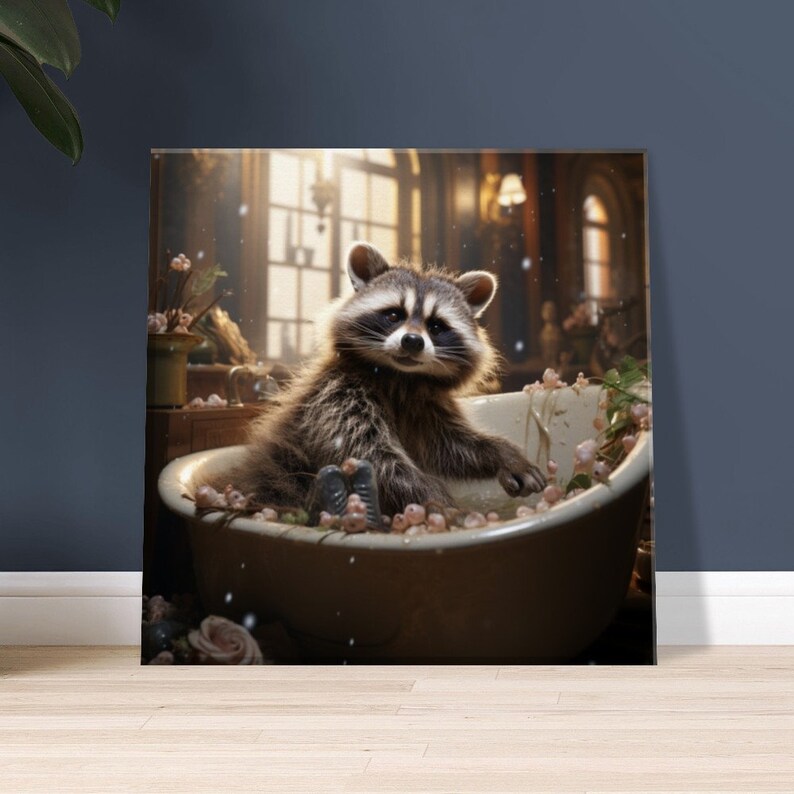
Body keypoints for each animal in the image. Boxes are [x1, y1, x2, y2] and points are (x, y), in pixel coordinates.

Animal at [232, 242, 546, 517]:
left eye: (436, 326)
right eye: (394, 314)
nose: (412, 342)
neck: (399, 378)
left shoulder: (424, 404)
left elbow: (450, 447)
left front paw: (502, 453)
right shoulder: (337, 397)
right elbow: (370, 456)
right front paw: (434, 497)